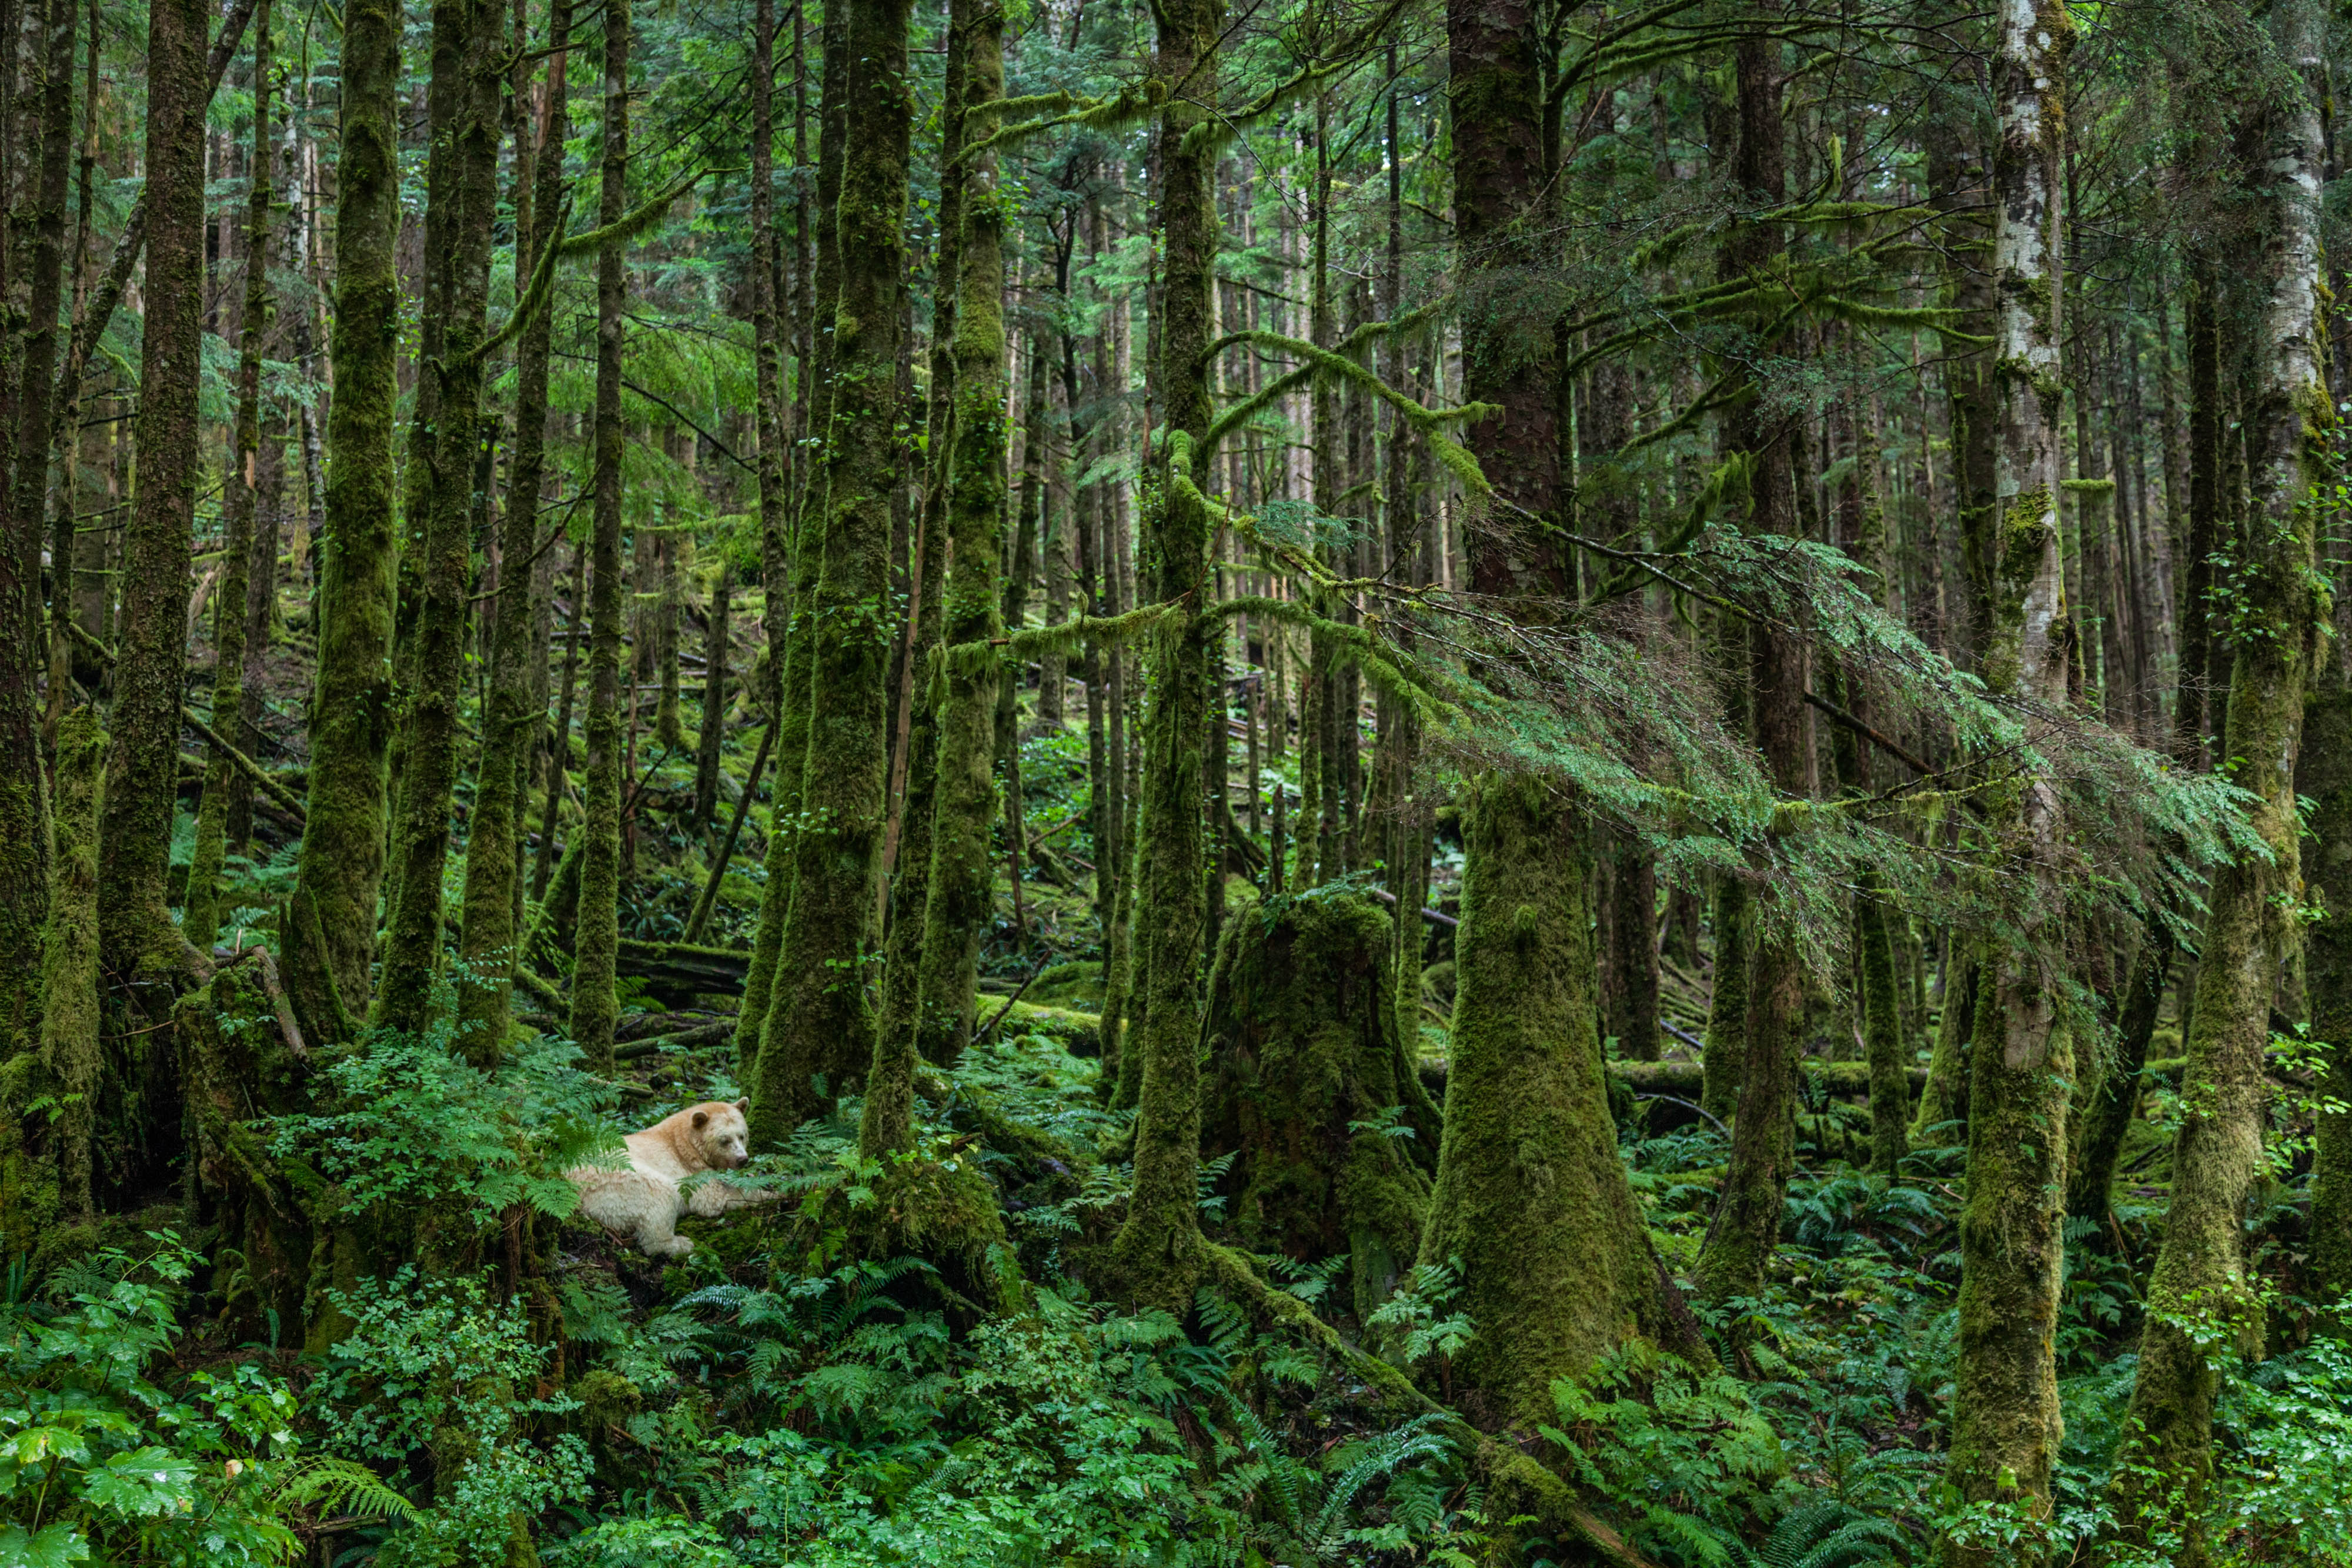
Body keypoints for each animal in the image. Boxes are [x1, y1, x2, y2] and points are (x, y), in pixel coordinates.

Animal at [569, 1105, 781, 1260]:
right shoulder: (691, 1172)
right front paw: (774, 1194)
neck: (684, 1141)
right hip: (617, 1181)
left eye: (742, 1135)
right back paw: (680, 1244)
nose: (742, 1159)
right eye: (724, 1140)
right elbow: (715, 1199)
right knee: (660, 1196)